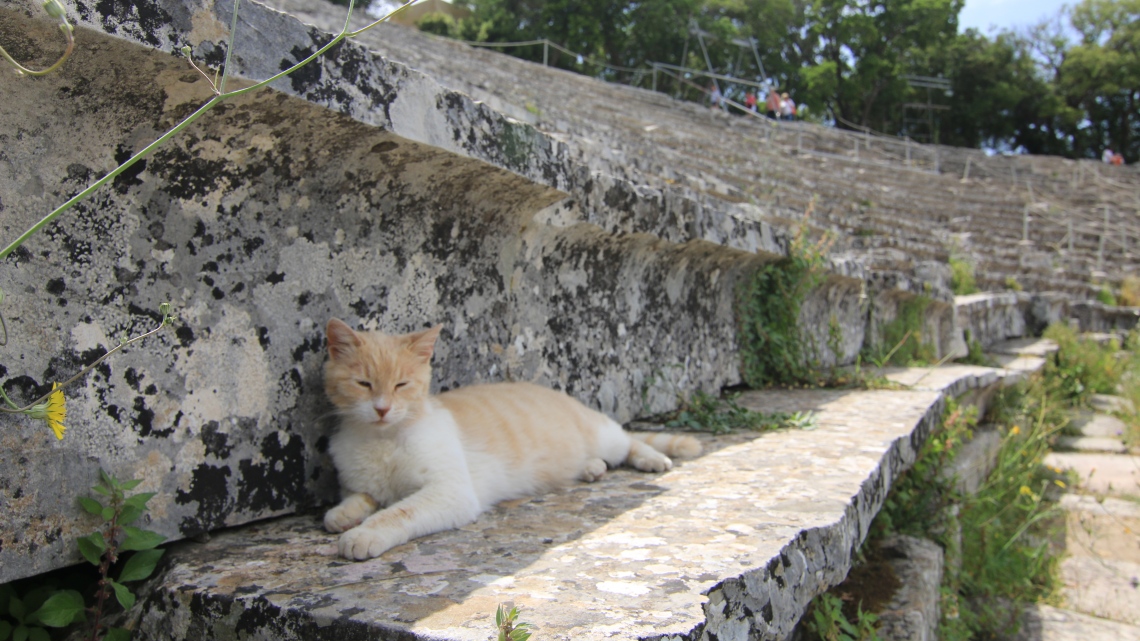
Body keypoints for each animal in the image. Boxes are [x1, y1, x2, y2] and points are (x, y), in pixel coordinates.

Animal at [319, 319, 693, 558]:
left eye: (401, 385)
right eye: (363, 384)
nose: (382, 409)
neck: (381, 438)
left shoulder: (449, 492)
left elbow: (398, 512)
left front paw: (364, 534)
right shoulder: (357, 482)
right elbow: (360, 497)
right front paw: (343, 515)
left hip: (604, 435)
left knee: (628, 440)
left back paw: (652, 459)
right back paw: (591, 468)